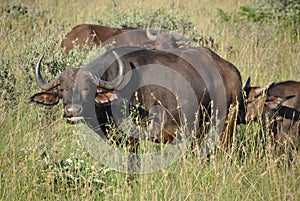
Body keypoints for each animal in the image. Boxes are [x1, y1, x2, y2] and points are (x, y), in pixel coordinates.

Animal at [31, 46, 245, 152]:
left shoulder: (133, 139)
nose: (72, 111)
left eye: (87, 88)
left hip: (226, 127)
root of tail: (232, 71)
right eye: (62, 89)